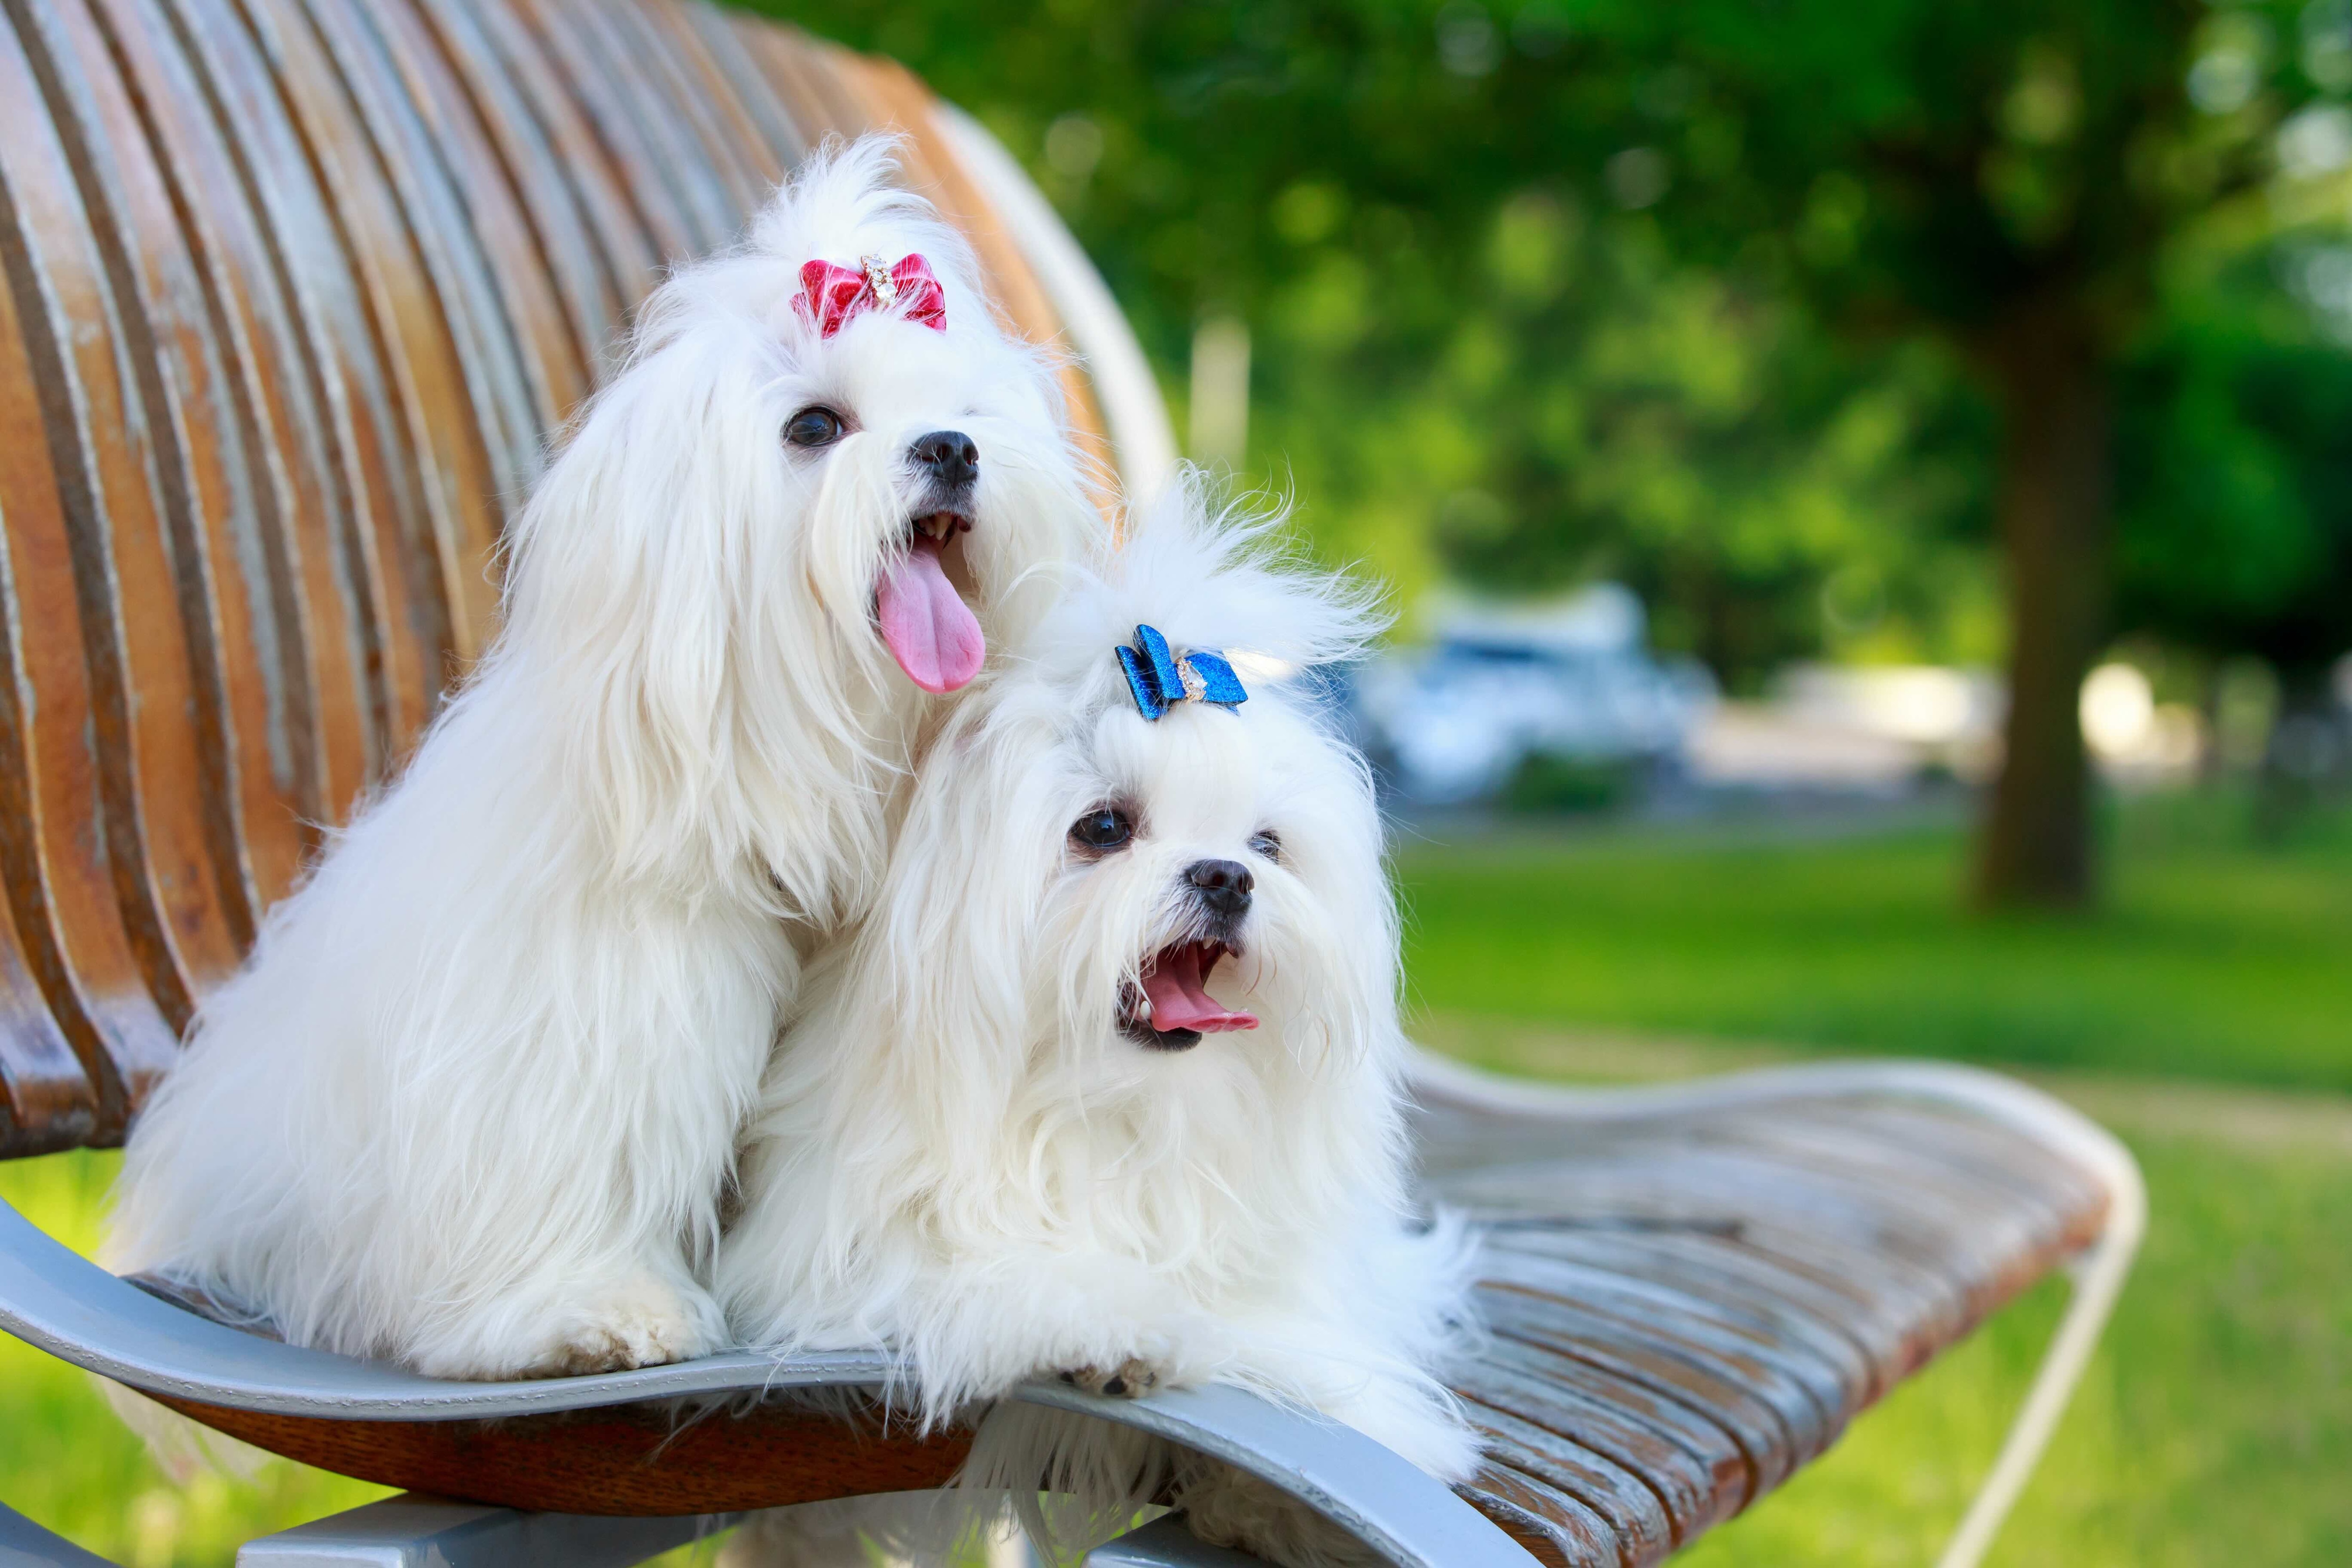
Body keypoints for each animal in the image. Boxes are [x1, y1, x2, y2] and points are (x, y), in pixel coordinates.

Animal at [106, 141, 1096, 1382]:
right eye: (815, 427)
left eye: (965, 415)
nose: (953, 453)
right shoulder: (600, 990)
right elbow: (586, 1128)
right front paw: (590, 1308)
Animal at [720, 484, 1486, 1561]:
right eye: (1105, 828)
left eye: (1266, 843)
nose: (1227, 876)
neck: (1115, 1119)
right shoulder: (835, 1264)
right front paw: (1109, 1328)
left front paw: (1271, 1500)